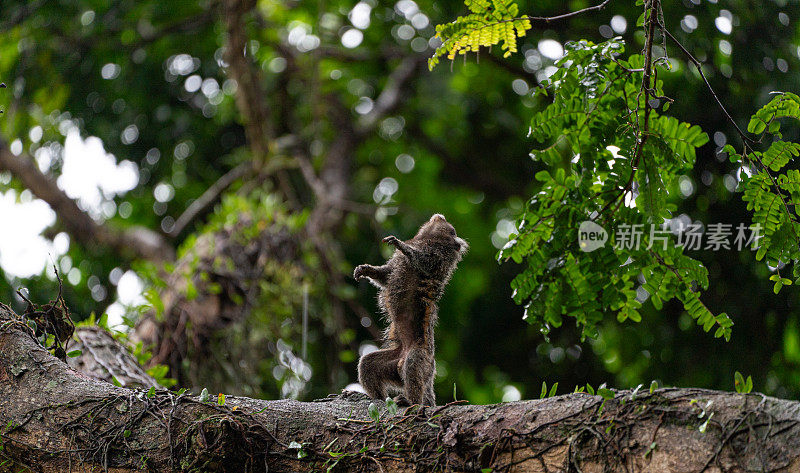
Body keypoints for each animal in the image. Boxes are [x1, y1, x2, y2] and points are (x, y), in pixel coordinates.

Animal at [354, 214, 466, 406]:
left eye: (452, 230)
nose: (440, 216)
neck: (426, 240)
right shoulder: (396, 264)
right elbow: (385, 276)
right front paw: (366, 269)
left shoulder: (437, 259)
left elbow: (422, 261)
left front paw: (401, 245)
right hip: (394, 363)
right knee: (367, 364)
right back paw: (378, 398)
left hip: (423, 359)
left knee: (413, 366)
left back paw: (411, 402)